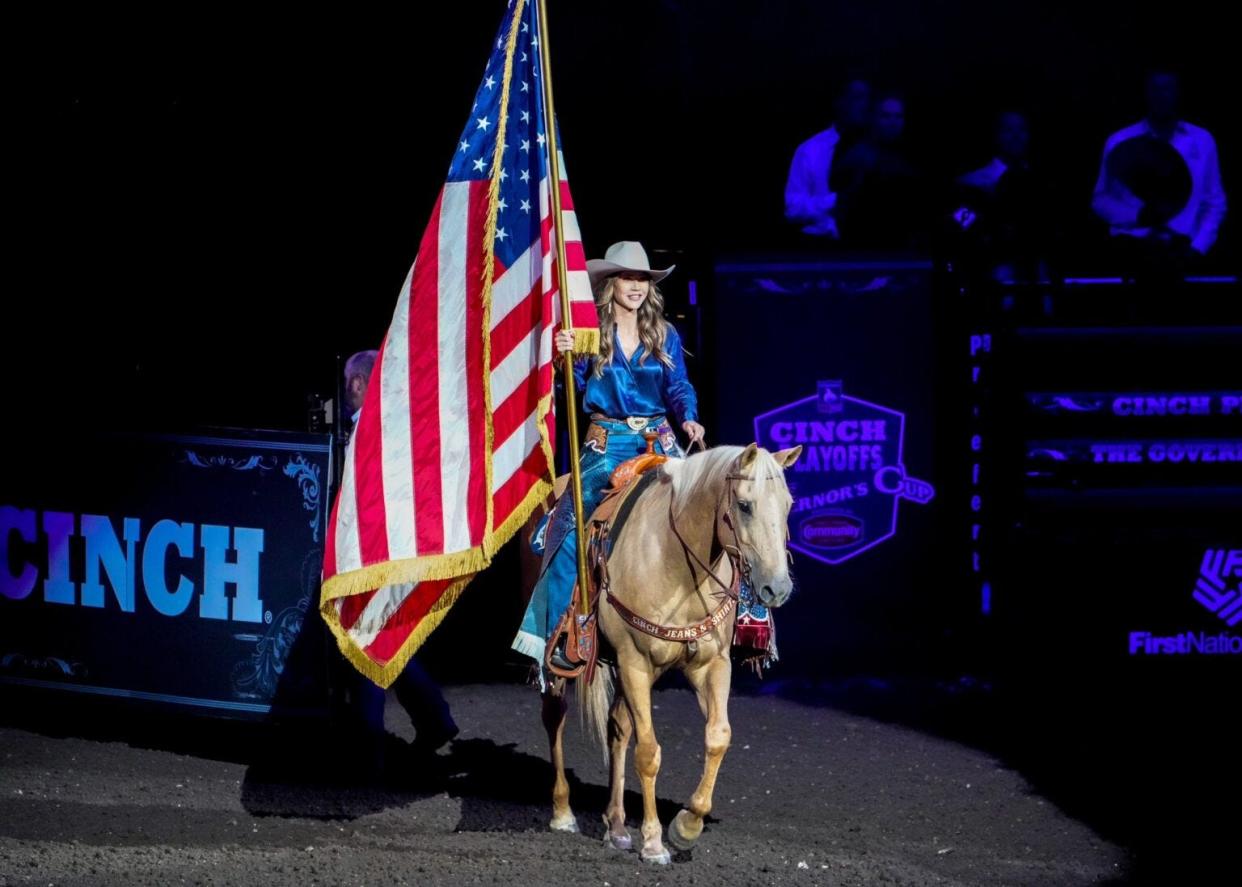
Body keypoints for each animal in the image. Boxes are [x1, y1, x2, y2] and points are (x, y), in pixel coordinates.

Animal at [536, 439, 804, 854]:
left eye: (788, 504)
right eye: (744, 505)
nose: (777, 588)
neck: (675, 561)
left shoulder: (712, 664)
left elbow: (718, 736)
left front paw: (686, 825)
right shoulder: (635, 663)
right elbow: (648, 751)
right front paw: (653, 841)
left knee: (618, 727)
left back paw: (616, 826)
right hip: (562, 663)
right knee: (555, 716)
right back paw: (563, 812)